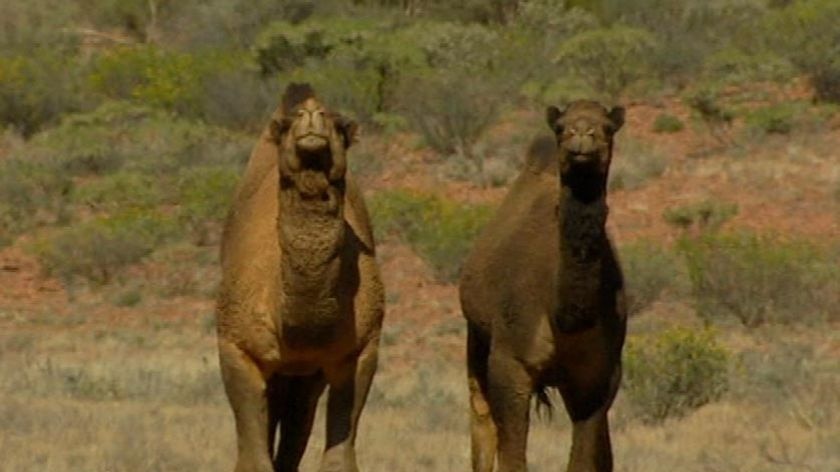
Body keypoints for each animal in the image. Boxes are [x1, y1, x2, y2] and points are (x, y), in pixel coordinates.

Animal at [217, 84, 388, 472]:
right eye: (286, 125)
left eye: (339, 123)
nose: (311, 115)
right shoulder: (235, 346)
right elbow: (253, 457)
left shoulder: (360, 349)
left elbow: (339, 455)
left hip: (305, 377)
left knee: (296, 425)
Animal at [456, 100, 628, 472]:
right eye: (562, 127)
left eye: (608, 127)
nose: (582, 134)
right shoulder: (510, 364)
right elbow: (512, 458)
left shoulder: (600, 376)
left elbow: (584, 460)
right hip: (477, 338)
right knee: (481, 419)